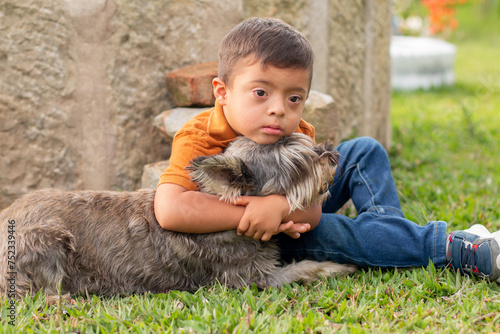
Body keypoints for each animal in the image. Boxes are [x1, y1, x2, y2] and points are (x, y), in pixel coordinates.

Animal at [1, 133, 358, 300]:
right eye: (297, 165)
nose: (331, 154)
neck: (226, 208)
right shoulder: (253, 279)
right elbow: (304, 269)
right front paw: (338, 266)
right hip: (49, 241)